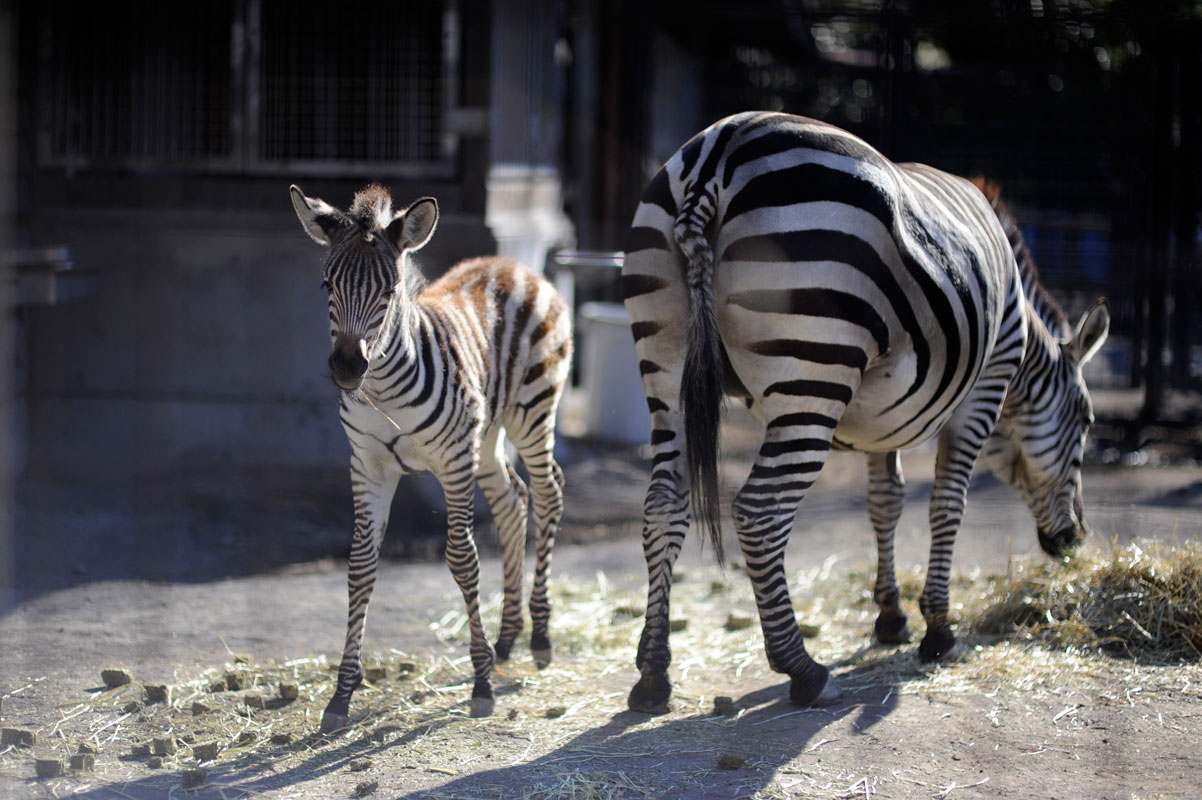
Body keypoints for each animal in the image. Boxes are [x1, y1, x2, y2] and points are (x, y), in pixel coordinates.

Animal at [289, 180, 572, 730]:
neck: (383, 388)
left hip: (532, 411)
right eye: (326, 285)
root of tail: (513, 263)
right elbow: (360, 566)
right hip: (487, 434)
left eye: (390, 290)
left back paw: (540, 636)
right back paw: (508, 639)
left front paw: (481, 683)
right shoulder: (368, 466)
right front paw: (342, 694)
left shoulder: (453, 461)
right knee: (513, 501)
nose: (347, 368)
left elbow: (462, 560)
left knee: (549, 492)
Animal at [625, 110, 1110, 711]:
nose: (1075, 541)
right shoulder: (985, 386)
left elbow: (886, 502)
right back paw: (804, 670)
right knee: (760, 512)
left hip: (665, 361)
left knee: (663, 506)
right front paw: (938, 630)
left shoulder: (889, 416)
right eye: (1087, 423)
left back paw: (653, 675)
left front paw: (890, 617)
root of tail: (718, 151)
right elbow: (946, 504)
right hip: (814, 369)